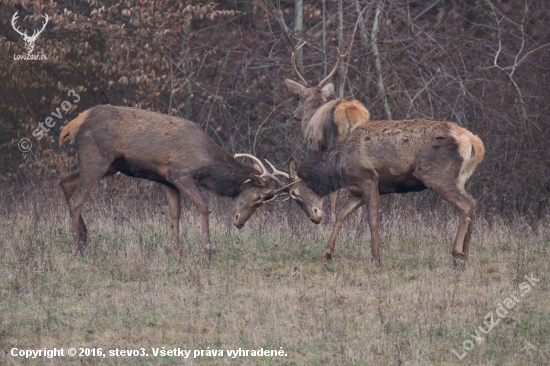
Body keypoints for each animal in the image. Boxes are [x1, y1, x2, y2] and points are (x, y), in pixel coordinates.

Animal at [58, 105, 296, 260]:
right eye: (259, 197)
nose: (239, 222)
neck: (208, 164)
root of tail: (70, 126)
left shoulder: (168, 181)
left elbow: (175, 213)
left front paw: (176, 252)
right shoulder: (180, 173)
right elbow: (204, 206)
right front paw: (207, 252)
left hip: (110, 165)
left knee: (65, 182)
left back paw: (84, 238)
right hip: (97, 158)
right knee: (77, 200)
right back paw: (76, 250)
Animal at [286, 41, 374, 219]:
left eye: (300, 98)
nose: (294, 115)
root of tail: (352, 113)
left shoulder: (312, 148)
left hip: (335, 141)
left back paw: (334, 216)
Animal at [286, 120, 486, 266]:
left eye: (294, 193)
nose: (314, 218)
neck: (339, 167)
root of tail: (475, 143)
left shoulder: (368, 178)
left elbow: (372, 219)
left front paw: (375, 258)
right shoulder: (357, 190)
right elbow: (342, 214)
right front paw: (327, 254)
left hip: (434, 174)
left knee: (466, 204)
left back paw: (457, 253)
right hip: (460, 179)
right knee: (472, 204)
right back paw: (467, 258)